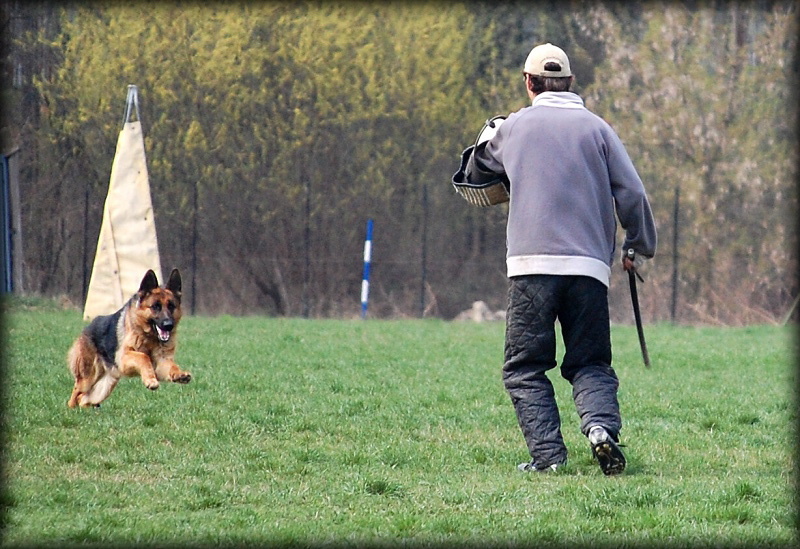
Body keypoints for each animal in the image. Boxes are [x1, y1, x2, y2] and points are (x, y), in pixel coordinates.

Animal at [66, 268, 191, 404]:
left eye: (171, 306)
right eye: (155, 306)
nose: (168, 325)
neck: (149, 338)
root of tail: (87, 328)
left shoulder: (162, 362)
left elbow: (172, 365)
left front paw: (179, 374)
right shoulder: (124, 357)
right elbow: (143, 357)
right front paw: (150, 380)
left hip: (104, 388)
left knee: (83, 398)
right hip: (87, 379)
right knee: (75, 394)